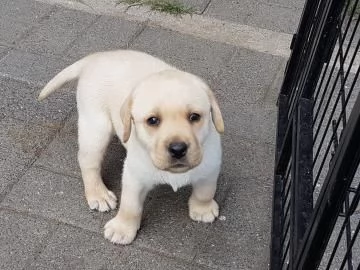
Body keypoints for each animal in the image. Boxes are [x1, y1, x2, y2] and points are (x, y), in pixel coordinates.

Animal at [40, 49, 225, 245]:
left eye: (194, 116)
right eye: (153, 120)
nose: (177, 149)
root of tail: (97, 56)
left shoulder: (211, 165)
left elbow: (205, 191)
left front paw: (203, 209)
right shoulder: (134, 175)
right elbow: (130, 206)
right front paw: (122, 229)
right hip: (96, 128)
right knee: (88, 162)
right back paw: (98, 194)